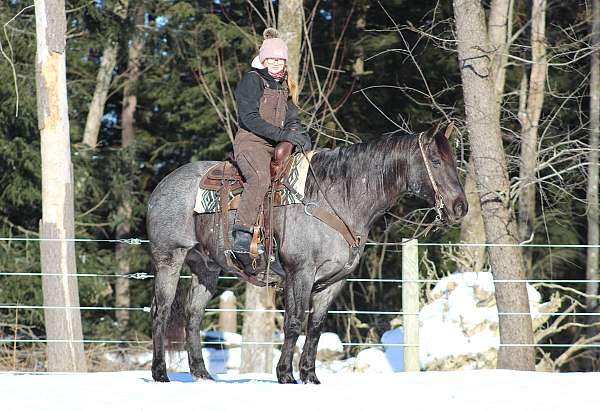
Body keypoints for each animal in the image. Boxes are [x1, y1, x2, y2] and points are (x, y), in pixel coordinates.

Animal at [146, 124, 468, 384]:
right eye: (436, 161)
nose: (460, 207)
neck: (337, 199)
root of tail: (162, 186)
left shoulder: (333, 281)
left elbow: (314, 327)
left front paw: (310, 376)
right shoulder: (300, 272)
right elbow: (294, 321)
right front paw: (285, 375)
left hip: (206, 267)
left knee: (193, 315)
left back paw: (201, 373)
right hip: (169, 259)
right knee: (162, 311)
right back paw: (160, 373)